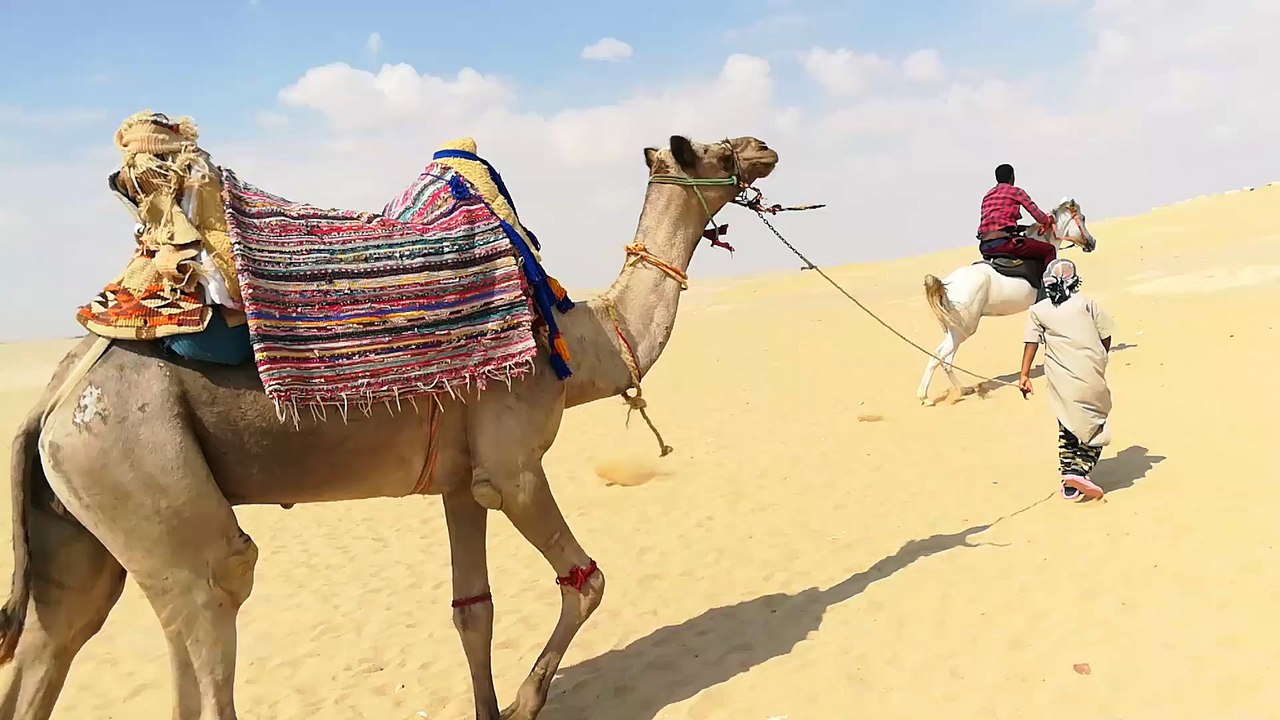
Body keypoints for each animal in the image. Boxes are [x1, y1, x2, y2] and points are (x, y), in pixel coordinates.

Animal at [0, 134, 779, 720]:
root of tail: (54, 397)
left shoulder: (461, 480)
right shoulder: (514, 465)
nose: (763, 148)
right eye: (710, 146)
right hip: (129, 456)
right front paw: (527, 701)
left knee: (58, 631)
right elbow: (585, 583)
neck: (583, 343)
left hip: (80, 512)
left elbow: (473, 609)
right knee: (215, 583)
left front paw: (490, 710)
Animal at [914, 199, 1098, 404]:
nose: (1092, 242)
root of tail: (946, 286)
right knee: (937, 357)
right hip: (962, 331)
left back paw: (963, 389)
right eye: (1083, 218)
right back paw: (924, 397)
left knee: (945, 361)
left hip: (954, 331)